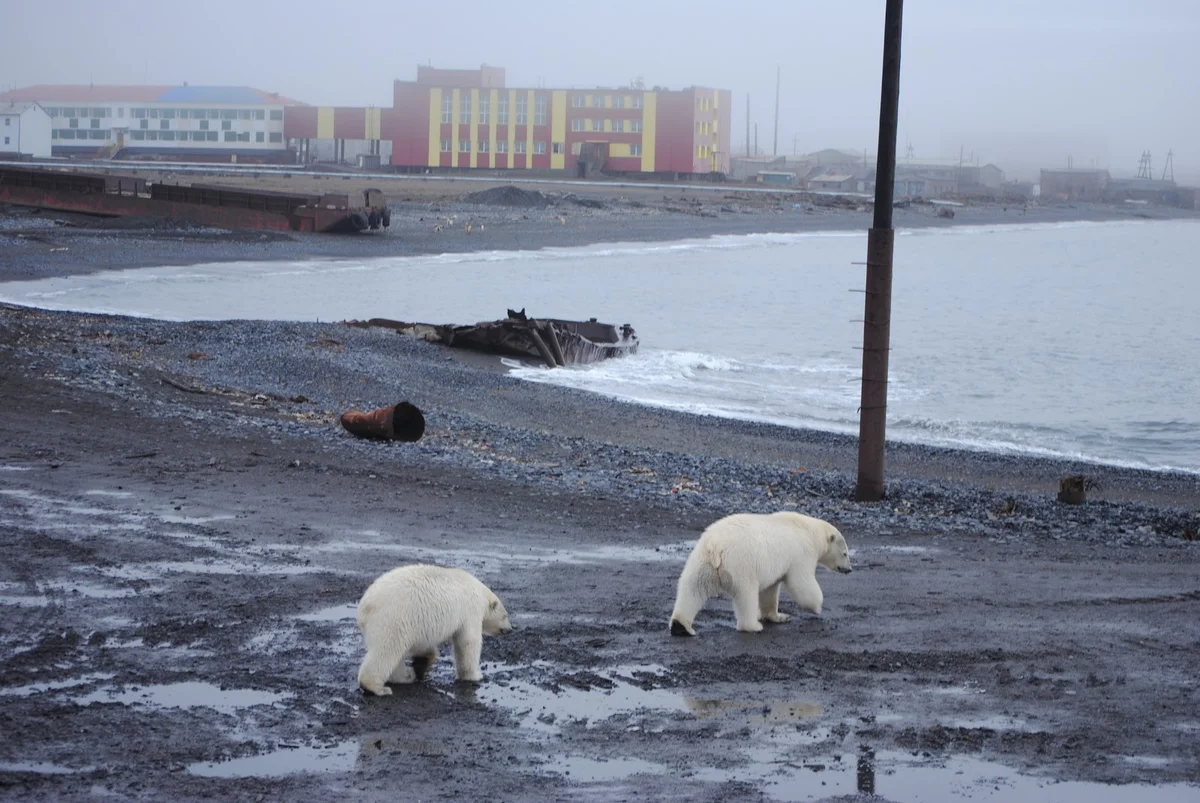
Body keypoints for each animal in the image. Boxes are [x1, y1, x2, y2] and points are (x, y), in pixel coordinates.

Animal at [350, 561, 511, 691]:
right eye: (505, 615)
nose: (510, 629)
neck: (480, 592)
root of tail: (364, 608)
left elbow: (423, 645)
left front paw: (423, 661)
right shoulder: (470, 610)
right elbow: (468, 642)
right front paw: (475, 675)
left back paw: (407, 676)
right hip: (392, 620)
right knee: (387, 650)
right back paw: (377, 687)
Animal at [667, 511, 854, 633]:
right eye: (845, 553)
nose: (849, 569)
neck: (810, 531)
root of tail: (716, 547)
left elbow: (770, 590)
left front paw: (779, 616)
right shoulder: (801, 553)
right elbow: (801, 582)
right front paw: (817, 606)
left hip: (702, 561)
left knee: (693, 588)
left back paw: (680, 626)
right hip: (741, 565)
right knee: (746, 595)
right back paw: (753, 626)